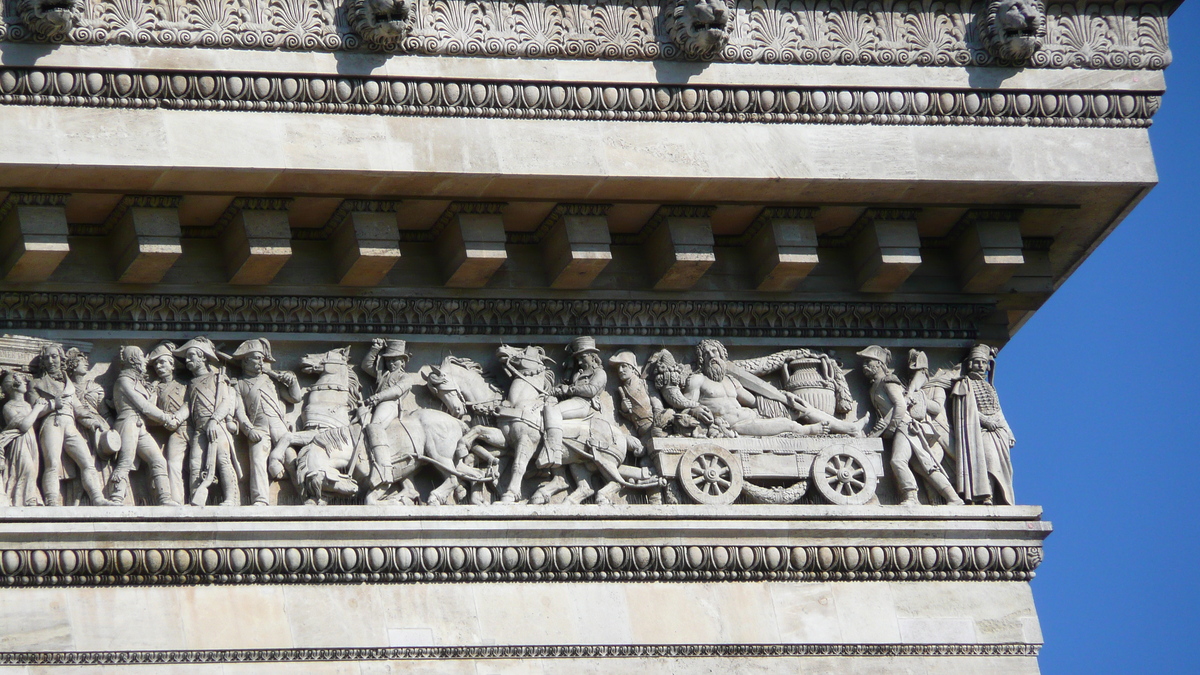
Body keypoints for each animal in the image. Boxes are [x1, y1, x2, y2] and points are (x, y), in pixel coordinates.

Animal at [280, 343, 492, 502]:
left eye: (328, 353)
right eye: (327, 486)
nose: (305, 357)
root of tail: (456, 421)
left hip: (439, 455)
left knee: (453, 479)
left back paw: (435, 497)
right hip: (449, 459)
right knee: (474, 474)